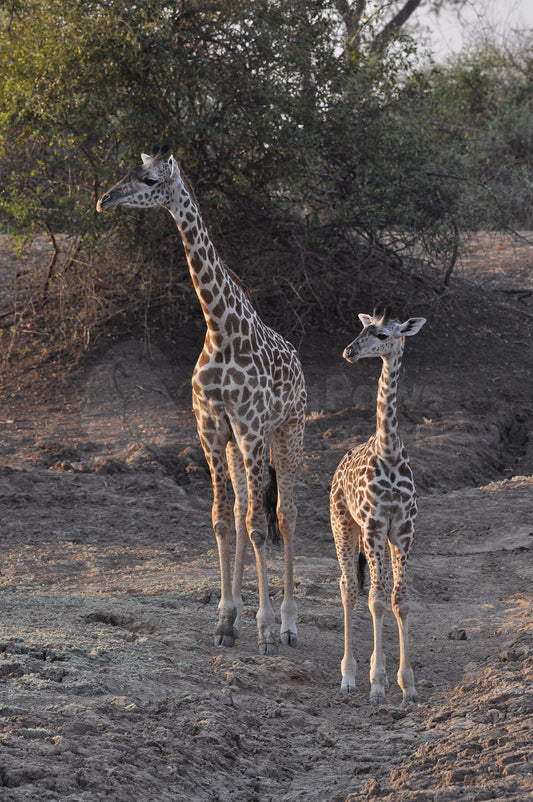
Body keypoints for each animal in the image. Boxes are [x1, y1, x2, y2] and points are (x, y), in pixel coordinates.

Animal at [97, 147, 306, 652]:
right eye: (129, 171)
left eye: (150, 180)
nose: (104, 200)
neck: (220, 329)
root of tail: (299, 360)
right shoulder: (212, 431)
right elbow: (223, 520)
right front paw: (226, 620)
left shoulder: (251, 429)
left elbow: (259, 526)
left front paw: (265, 630)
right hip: (238, 447)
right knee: (244, 507)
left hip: (288, 432)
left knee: (285, 513)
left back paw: (288, 625)